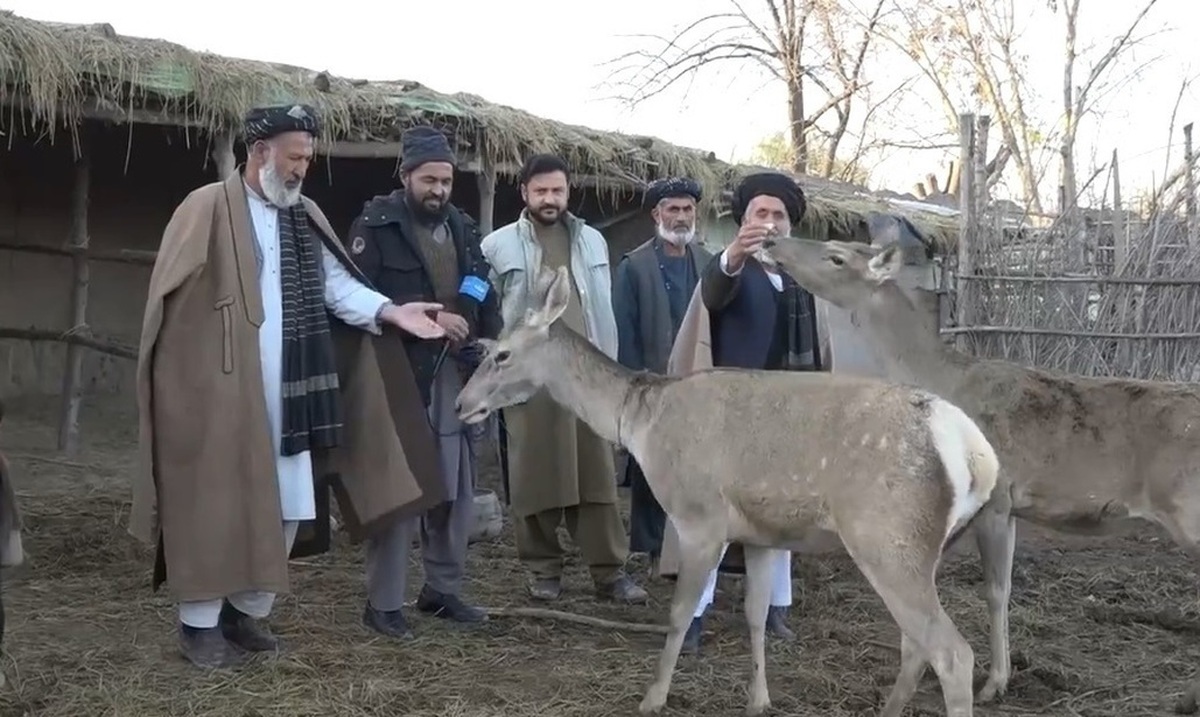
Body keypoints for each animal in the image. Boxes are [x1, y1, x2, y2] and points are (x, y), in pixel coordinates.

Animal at [456, 267, 1003, 714]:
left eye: (500, 354)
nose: (462, 404)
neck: (639, 423)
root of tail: (977, 455)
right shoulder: (762, 534)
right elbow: (755, 615)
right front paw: (759, 699)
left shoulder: (699, 517)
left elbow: (679, 614)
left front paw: (652, 698)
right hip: (927, 547)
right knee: (917, 644)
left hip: (887, 535)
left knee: (952, 652)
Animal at [763, 237, 1200, 714]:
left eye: (837, 256)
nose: (772, 241)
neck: (943, 378)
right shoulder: (1008, 507)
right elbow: (1000, 589)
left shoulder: (997, 498)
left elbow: (993, 589)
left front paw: (993, 684)